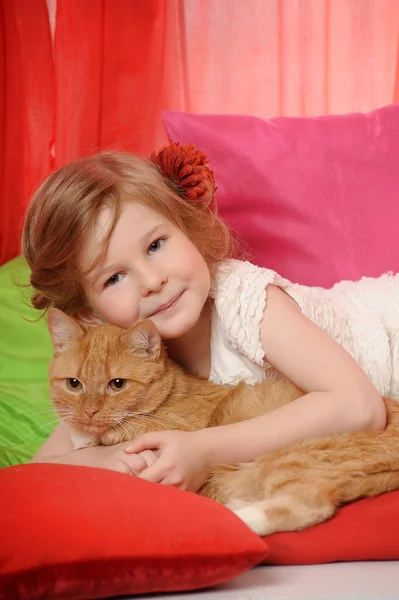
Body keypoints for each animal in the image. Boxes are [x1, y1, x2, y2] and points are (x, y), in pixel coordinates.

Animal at [47, 310, 399, 536]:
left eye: (117, 384)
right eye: (74, 384)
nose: (90, 412)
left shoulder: (179, 429)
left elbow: (124, 430)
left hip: (291, 456)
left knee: (312, 503)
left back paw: (235, 516)